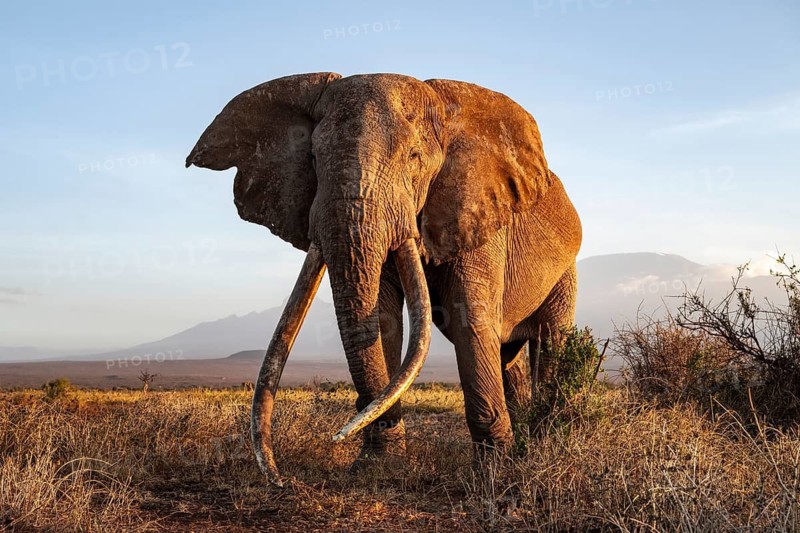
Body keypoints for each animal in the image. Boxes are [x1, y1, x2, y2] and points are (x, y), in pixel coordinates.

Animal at [186, 72, 582, 485]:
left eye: (414, 159)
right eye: (312, 159)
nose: (283, 480)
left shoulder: (478, 213)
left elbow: (469, 318)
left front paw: (493, 473)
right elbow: (382, 316)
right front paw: (378, 466)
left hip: (565, 272)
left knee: (551, 340)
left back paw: (544, 440)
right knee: (510, 356)